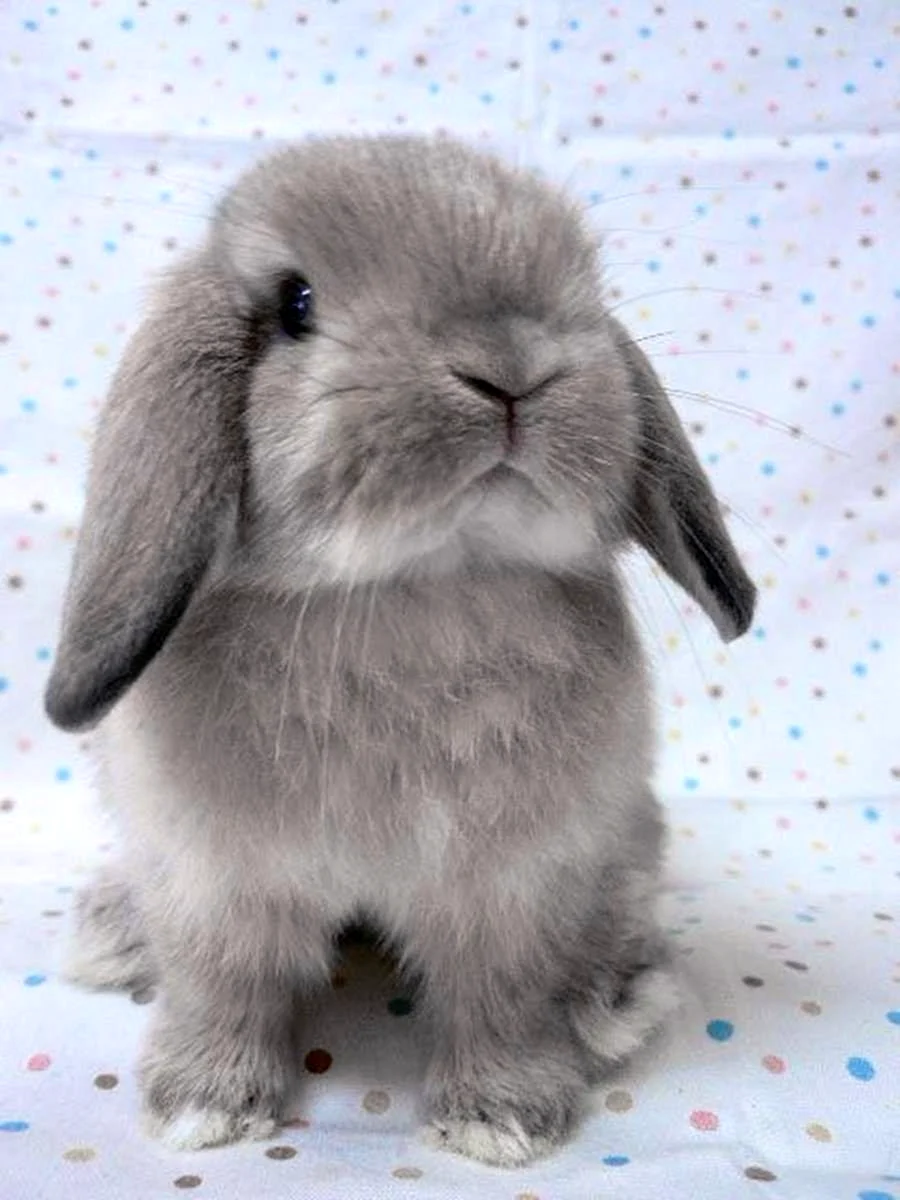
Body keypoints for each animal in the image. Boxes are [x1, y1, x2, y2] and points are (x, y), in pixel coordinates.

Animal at [45, 133, 756, 1168]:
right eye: (296, 303)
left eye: (582, 291)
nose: (509, 367)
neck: (408, 592)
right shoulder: (217, 883)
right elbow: (224, 989)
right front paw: (202, 1107)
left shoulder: (512, 888)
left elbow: (502, 1001)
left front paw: (501, 1120)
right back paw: (110, 931)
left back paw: (614, 992)